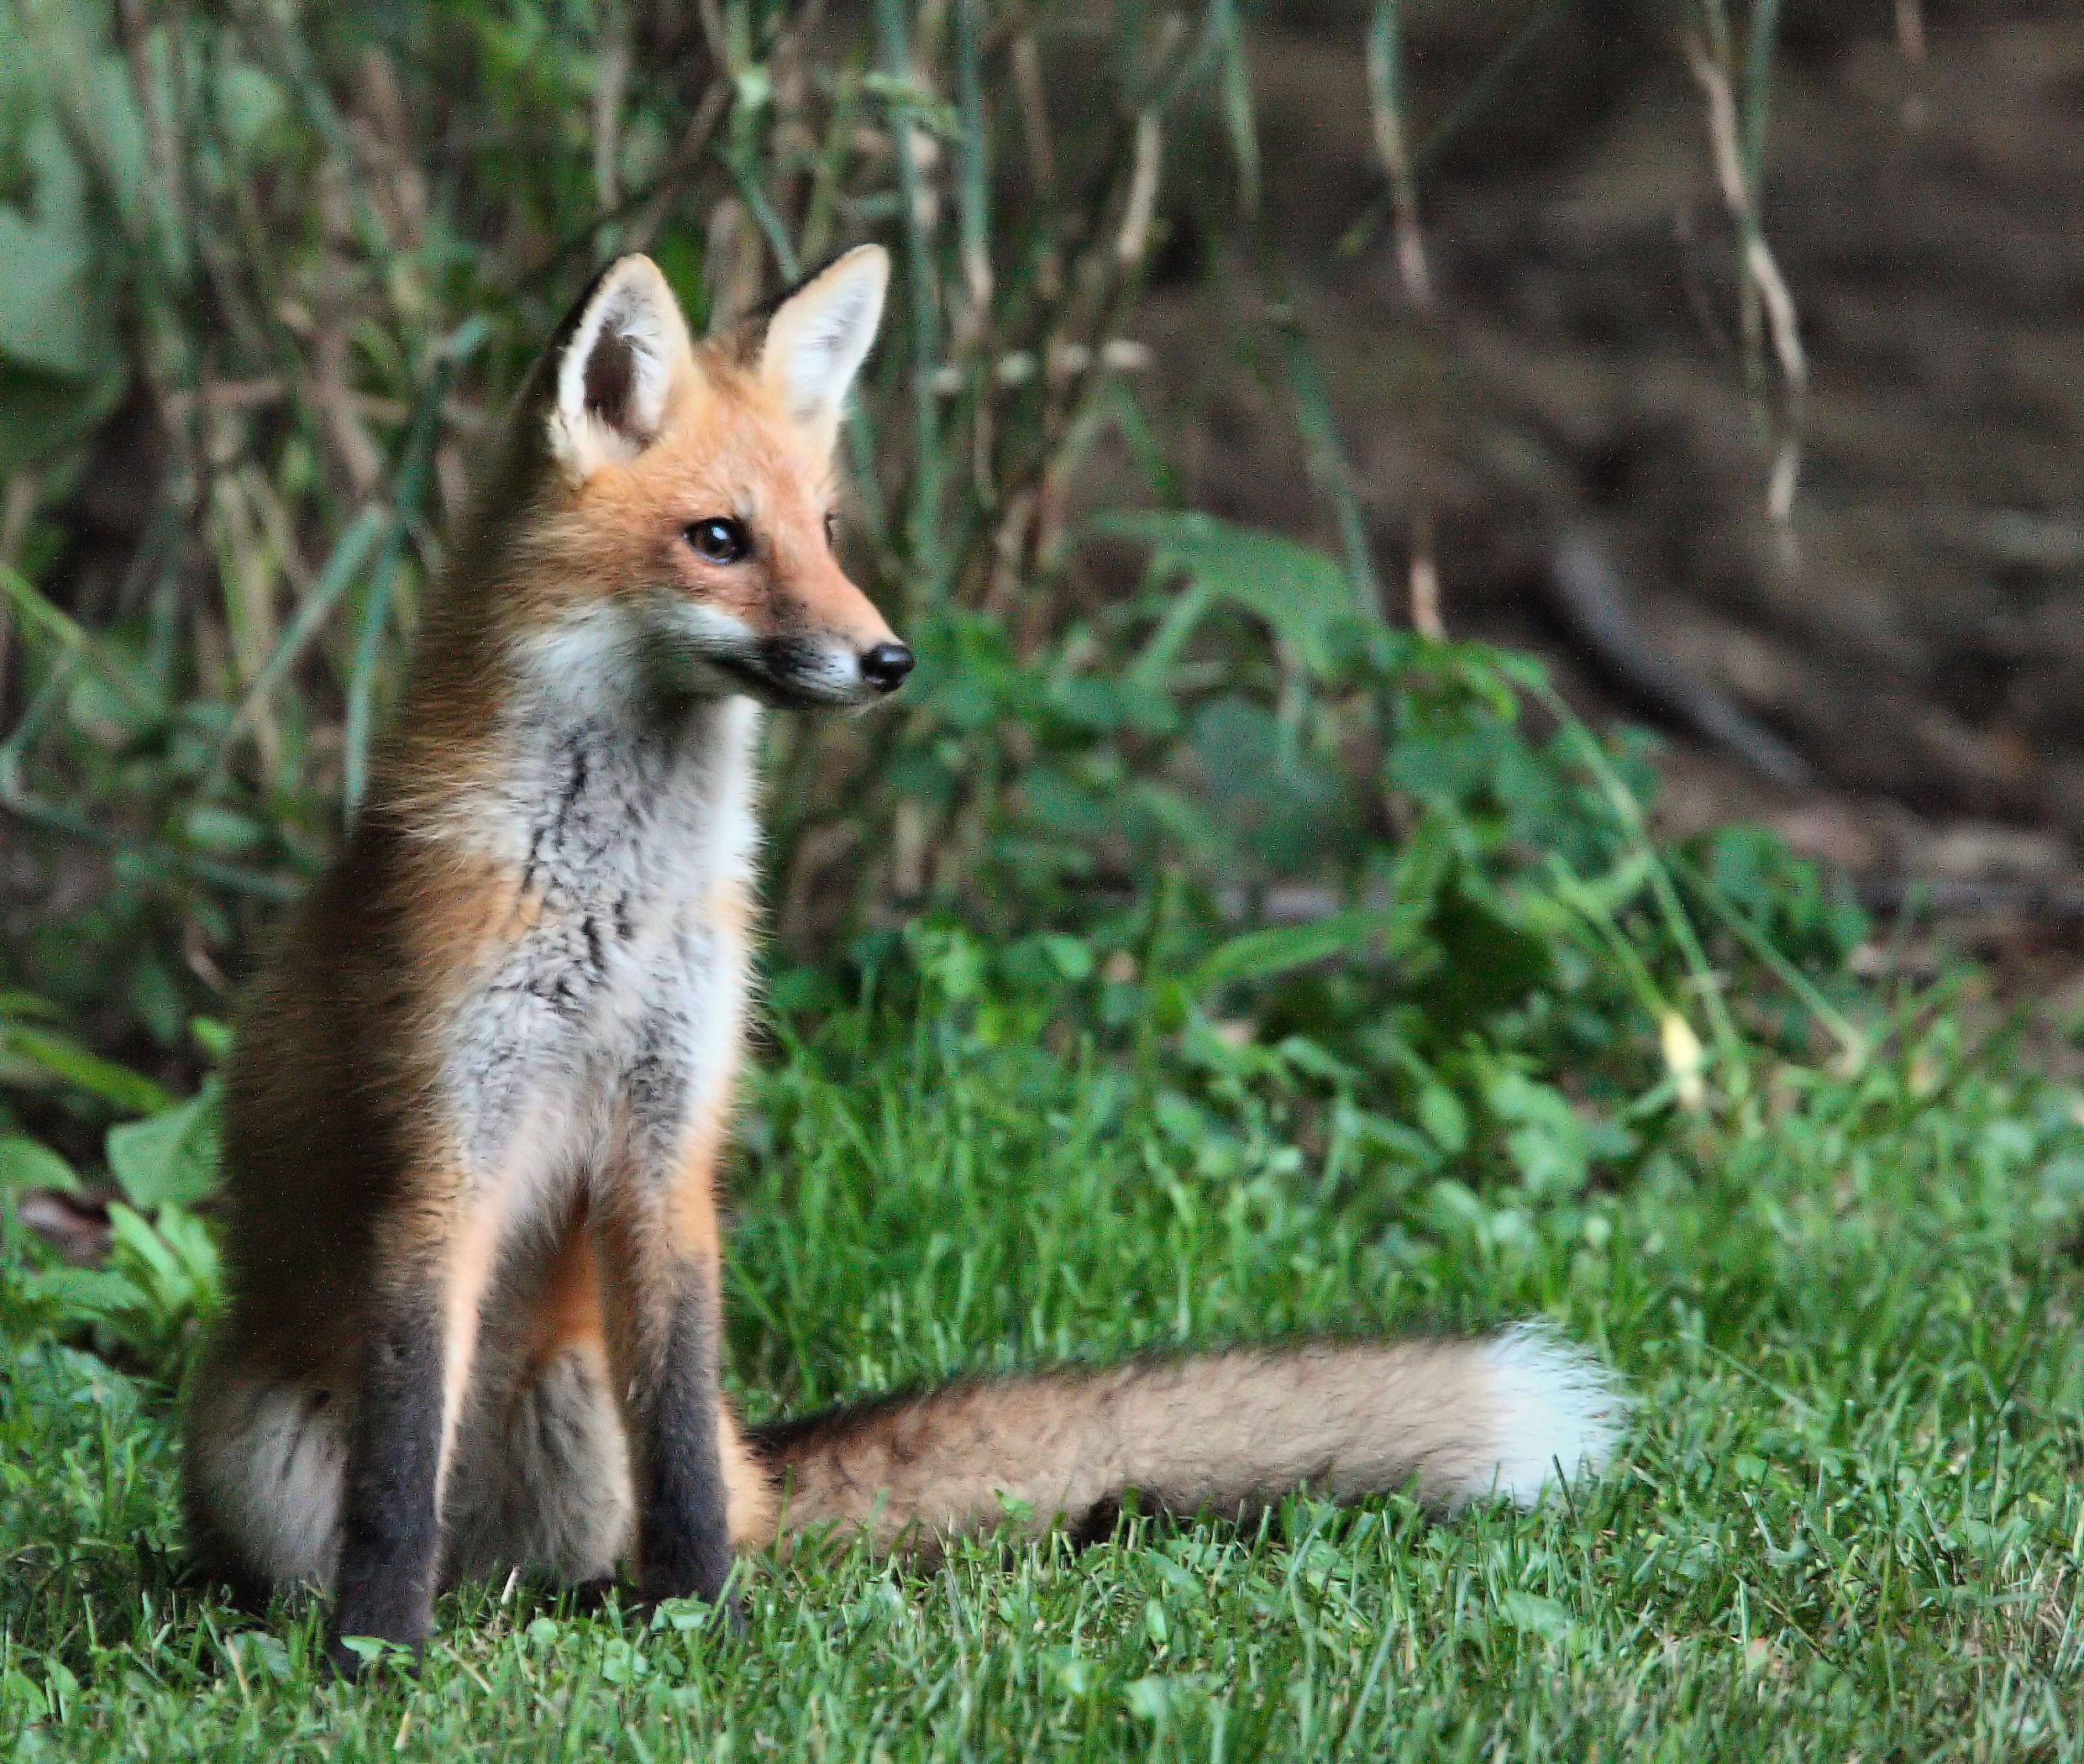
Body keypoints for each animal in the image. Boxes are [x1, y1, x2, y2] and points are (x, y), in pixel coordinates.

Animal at [175, 244, 1625, 1667]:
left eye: (824, 532)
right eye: (719, 541)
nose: (889, 658)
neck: (616, 898)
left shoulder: (670, 1143)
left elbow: (679, 1451)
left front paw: (706, 1630)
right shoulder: (447, 1148)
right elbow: (399, 1464)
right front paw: (375, 1654)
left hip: (580, 1407)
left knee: (660, 1506)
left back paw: (620, 1605)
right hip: (263, 1443)